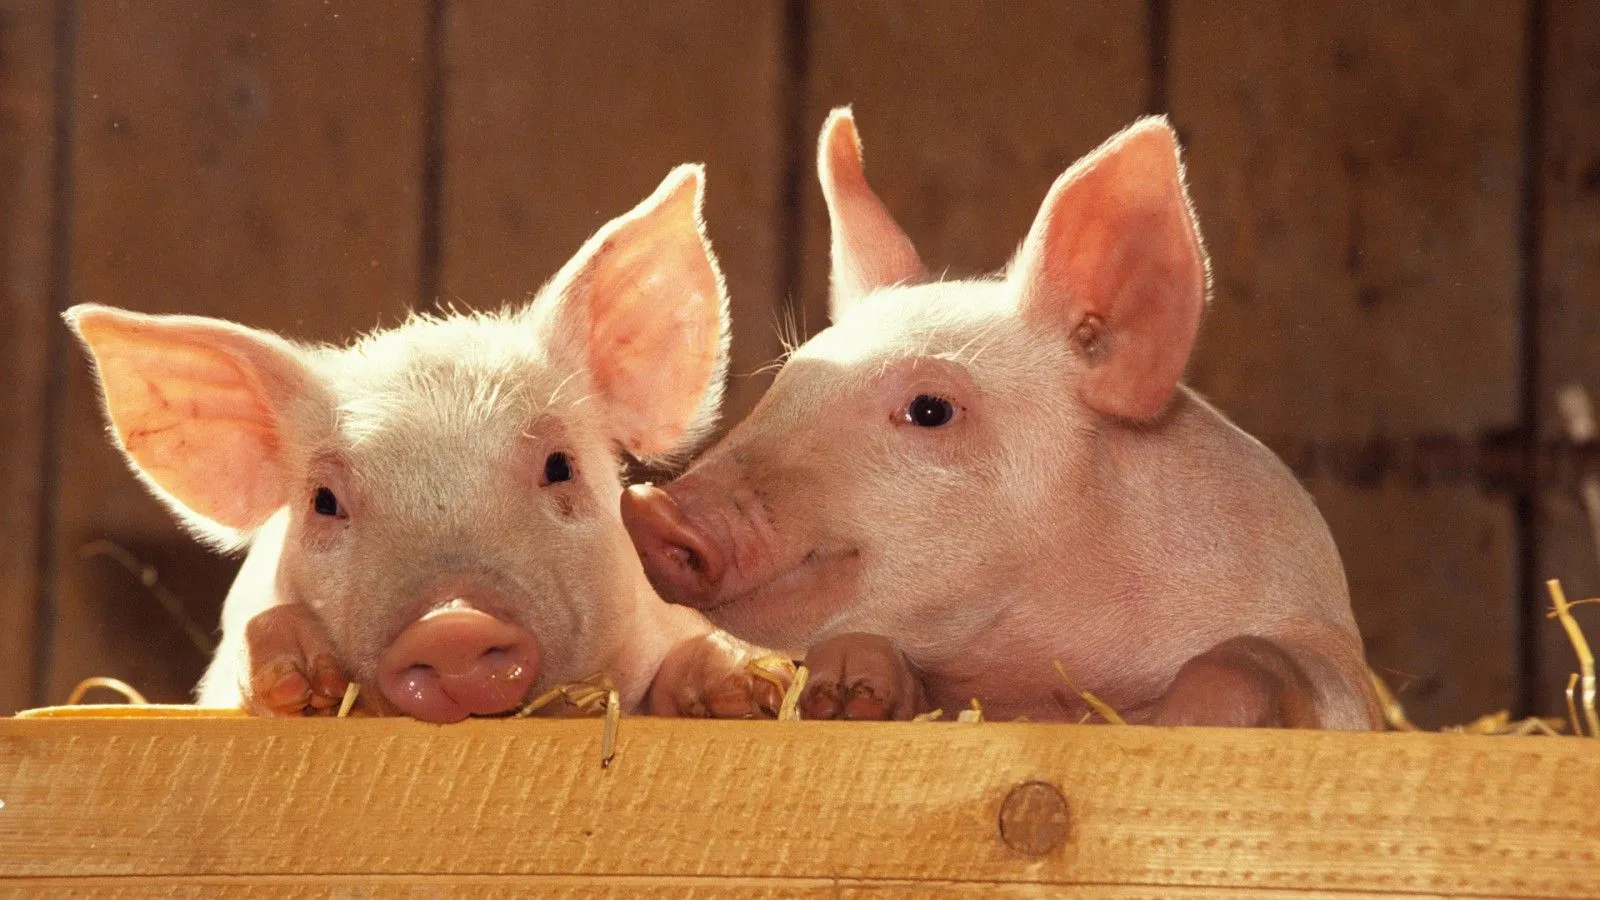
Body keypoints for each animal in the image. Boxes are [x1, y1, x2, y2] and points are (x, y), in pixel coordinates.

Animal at [623, 110, 1382, 730]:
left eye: (930, 409)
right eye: (788, 379)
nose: (651, 507)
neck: (1045, 677)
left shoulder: (1328, 649)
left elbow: (1259, 659)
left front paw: (1181, 722)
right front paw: (840, 686)